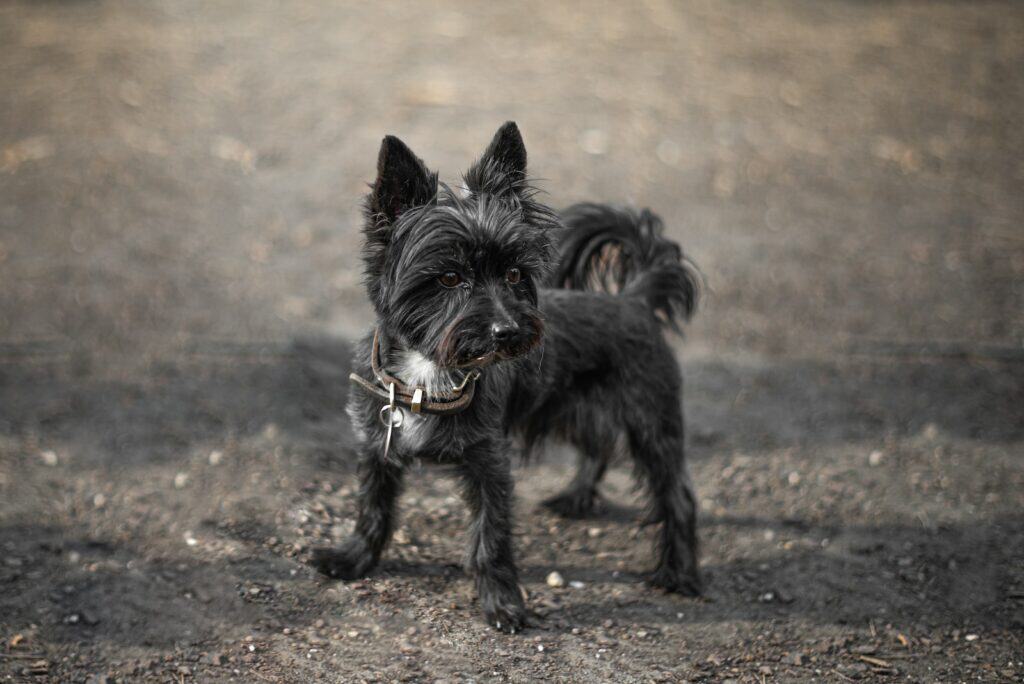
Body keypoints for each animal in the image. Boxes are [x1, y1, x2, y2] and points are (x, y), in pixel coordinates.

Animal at [307, 121, 700, 630]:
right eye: (449, 277)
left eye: (514, 274)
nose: (509, 330)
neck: (430, 375)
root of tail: (634, 298)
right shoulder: (377, 448)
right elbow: (372, 510)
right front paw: (353, 559)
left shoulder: (490, 463)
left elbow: (490, 537)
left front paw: (502, 602)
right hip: (574, 406)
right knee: (597, 444)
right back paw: (576, 497)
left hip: (651, 423)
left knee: (677, 496)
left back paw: (679, 572)